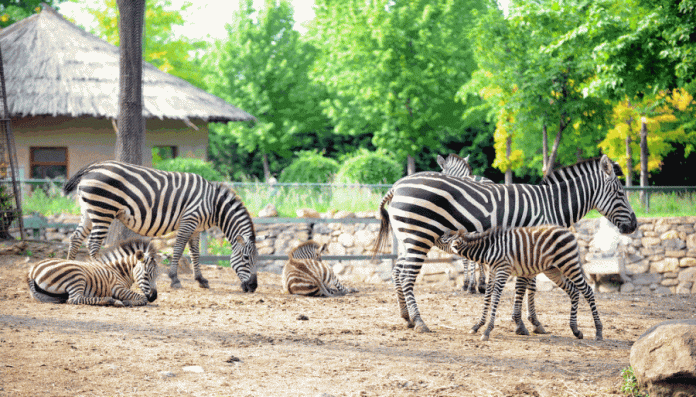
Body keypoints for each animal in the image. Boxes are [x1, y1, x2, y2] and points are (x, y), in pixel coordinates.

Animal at [26, 238, 158, 306]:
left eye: (157, 276)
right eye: (146, 275)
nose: (154, 297)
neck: (119, 272)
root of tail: (32, 271)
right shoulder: (117, 288)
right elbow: (142, 298)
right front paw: (126, 301)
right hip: (77, 275)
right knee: (75, 299)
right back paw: (111, 300)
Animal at [61, 159, 258, 292]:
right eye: (246, 258)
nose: (253, 287)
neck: (214, 204)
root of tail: (92, 167)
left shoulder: (196, 228)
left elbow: (195, 253)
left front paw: (201, 280)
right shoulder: (188, 221)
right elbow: (178, 250)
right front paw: (175, 280)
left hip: (88, 212)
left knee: (75, 238)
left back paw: (70, 266)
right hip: (103, 211)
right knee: (93, 244)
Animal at [444, 224, 600, 342]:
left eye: (447, 240)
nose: (442, 236)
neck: (489, 249)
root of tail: (569, 231)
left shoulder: (503, 270)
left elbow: (495, 298)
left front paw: (487, 330)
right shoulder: (493, 271)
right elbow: (487, 297)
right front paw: (477, 325)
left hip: (569, 264)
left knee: (587, 291)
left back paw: (598, 330)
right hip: (554, 270)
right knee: (573, 291)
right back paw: (575, 330)